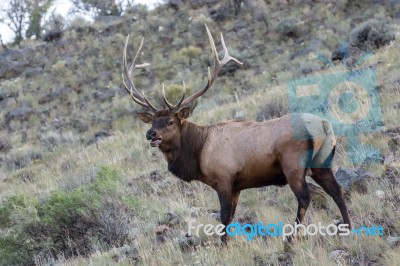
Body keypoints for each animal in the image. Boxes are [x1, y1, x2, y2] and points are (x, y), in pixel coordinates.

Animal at [121, 24, 350, 241]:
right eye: (153, 121)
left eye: (170, 121)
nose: (150, 134)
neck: (198, 152)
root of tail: (324, 124)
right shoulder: (238, 186)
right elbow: (231, 215)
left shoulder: (224, 179)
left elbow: (224, 216)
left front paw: (224, 245)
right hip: (321, 163)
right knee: (337, 190)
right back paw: (348, 229)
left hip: (293, 164)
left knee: (305, 196)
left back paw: (290, 239)